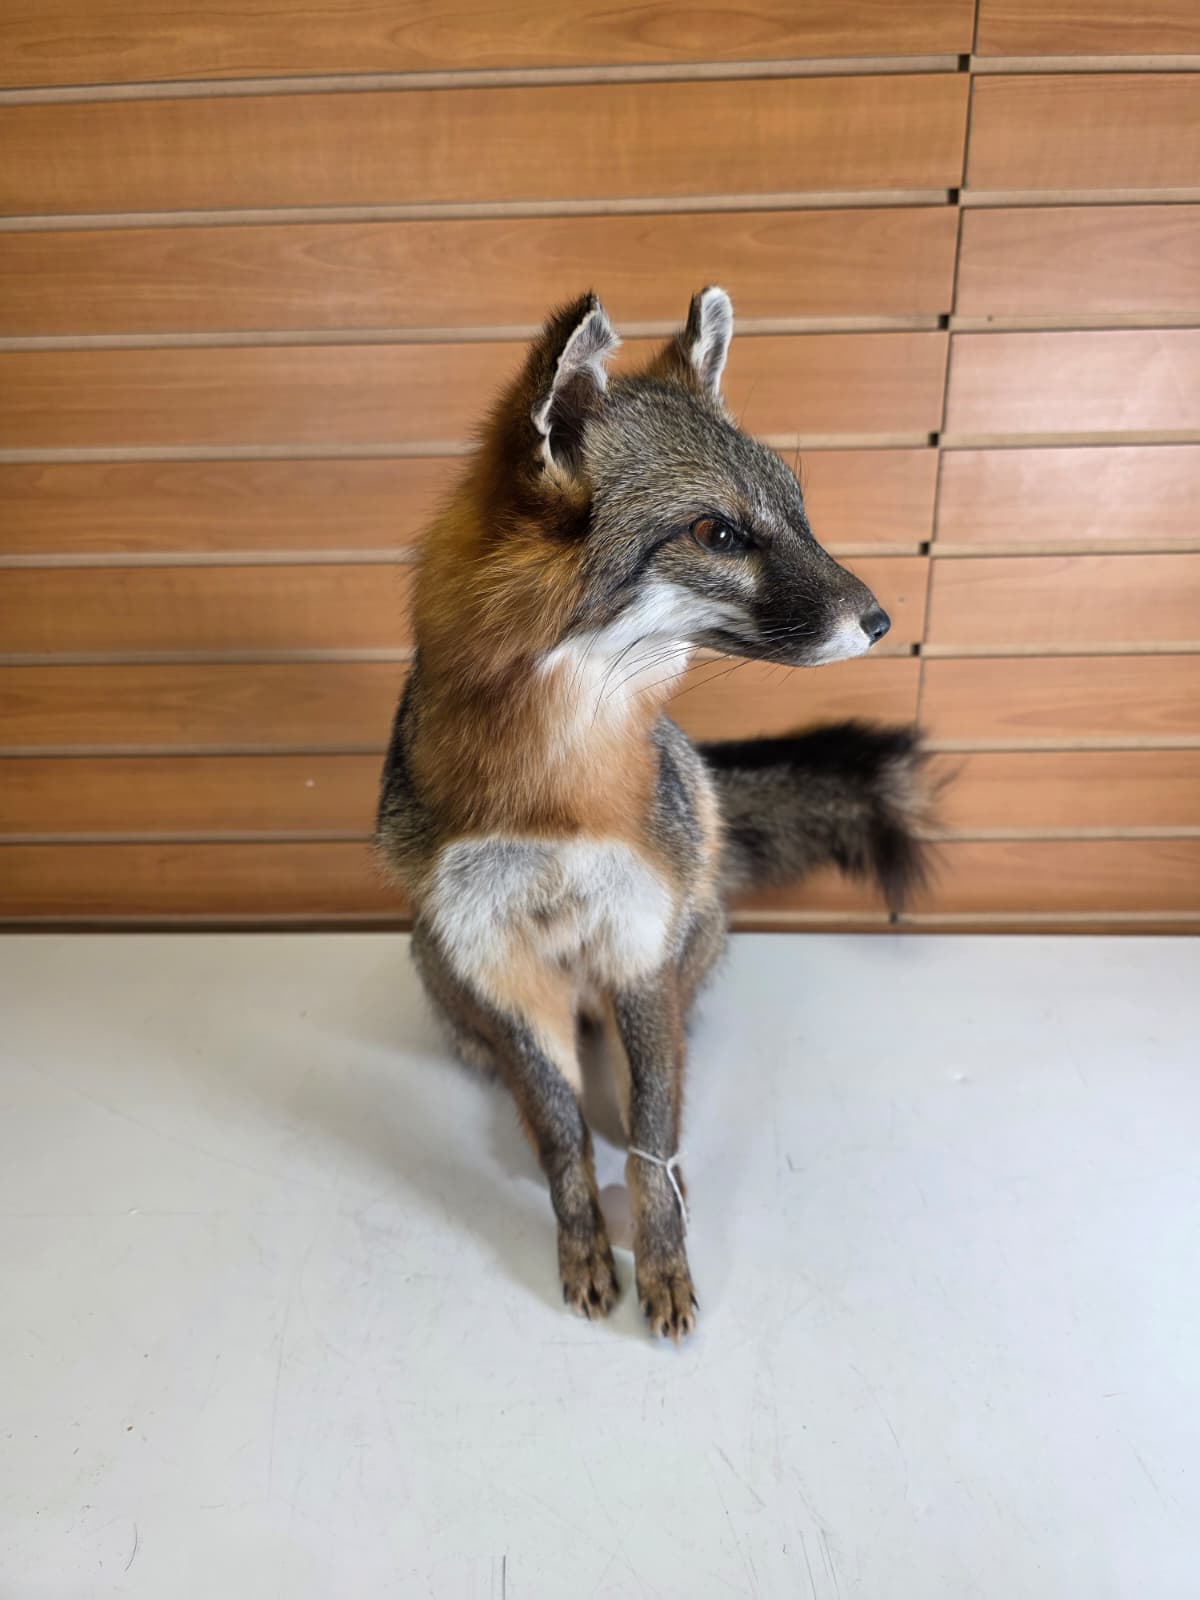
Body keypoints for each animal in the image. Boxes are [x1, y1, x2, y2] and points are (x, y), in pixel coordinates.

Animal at [377, 287, 931, 1340]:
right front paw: (584, 1240)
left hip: (689, 930)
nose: (883, 620)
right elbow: (563, 1143)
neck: (553, 799)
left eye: (799, 515)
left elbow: (650, 1138)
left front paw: (663, 1254)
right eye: (721, 535)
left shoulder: (638, 944)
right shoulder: (498, 956)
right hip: (437, 962)